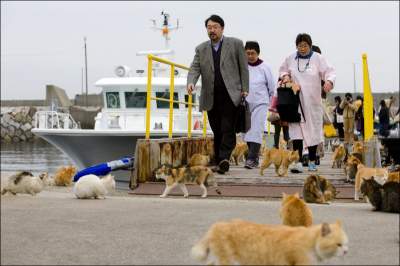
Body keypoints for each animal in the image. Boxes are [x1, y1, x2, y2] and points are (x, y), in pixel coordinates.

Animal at [192, 218, 348, 266]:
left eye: (346, 244)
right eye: (338, 245)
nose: (346, 251)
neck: (311, 242)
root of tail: (217, 224)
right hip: (227, 261)